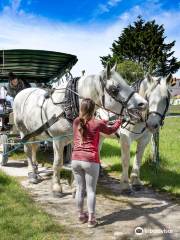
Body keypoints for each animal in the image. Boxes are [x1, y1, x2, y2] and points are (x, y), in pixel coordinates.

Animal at [13, 64, 147, 196]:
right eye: (114, 89)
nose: (143, 104)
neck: (66, 105)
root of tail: (23, 91)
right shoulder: (58, 140)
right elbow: (58, 163)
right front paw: (56, 187)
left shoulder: (75, 140)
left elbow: (75, 161)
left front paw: (76, 188)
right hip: (23, 131)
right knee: (27, 150)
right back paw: (32, 174)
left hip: (35, 132)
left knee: (34, 147)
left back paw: (35, 169)